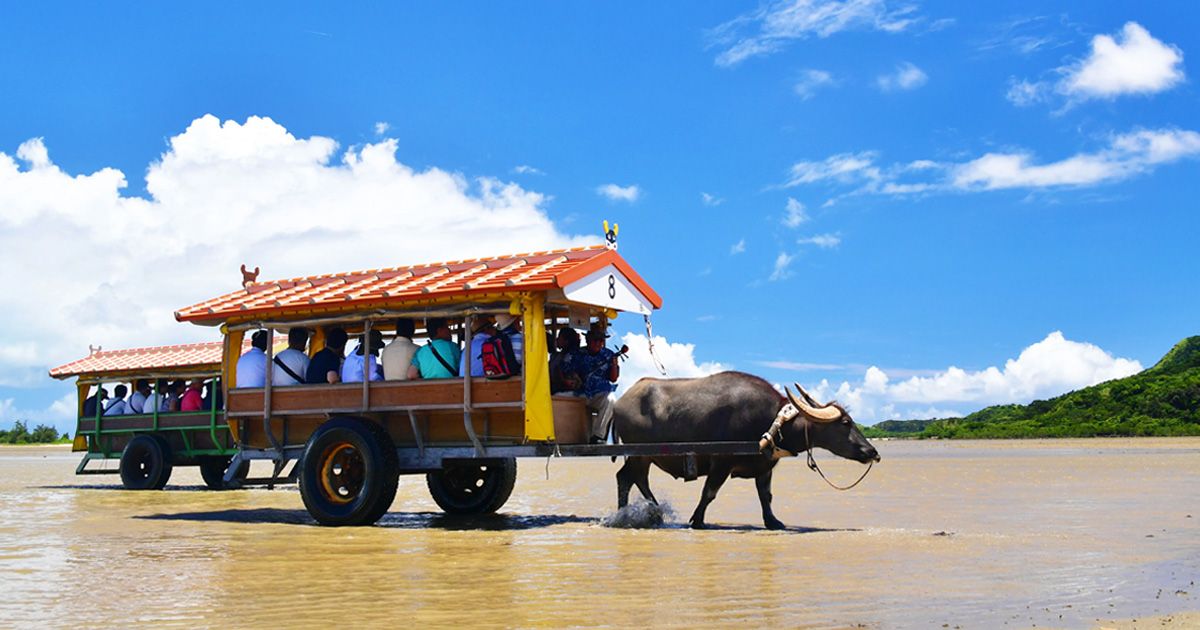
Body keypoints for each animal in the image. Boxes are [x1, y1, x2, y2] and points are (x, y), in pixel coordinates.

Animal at [613, 371, 879, 529]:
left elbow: (765, 495)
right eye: (845, 422)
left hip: (642, 456)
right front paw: (697, 520)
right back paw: (642, 515)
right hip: (639, 454)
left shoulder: (764, 465)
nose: (872, 452)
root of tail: (620, 402)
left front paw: (773, 521)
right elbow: (709, 493)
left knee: (630, 478)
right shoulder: (721, 464)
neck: (771, 422)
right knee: (631, 478)